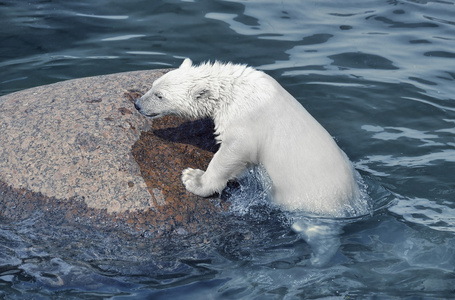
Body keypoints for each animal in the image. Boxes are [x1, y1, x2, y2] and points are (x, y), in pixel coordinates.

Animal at [134, 58, 362, 217]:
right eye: (153, 85)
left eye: (160, 96)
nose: (137, 104)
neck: (233, 89)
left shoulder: (246, 119)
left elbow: (233, 150)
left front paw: (193, 178)